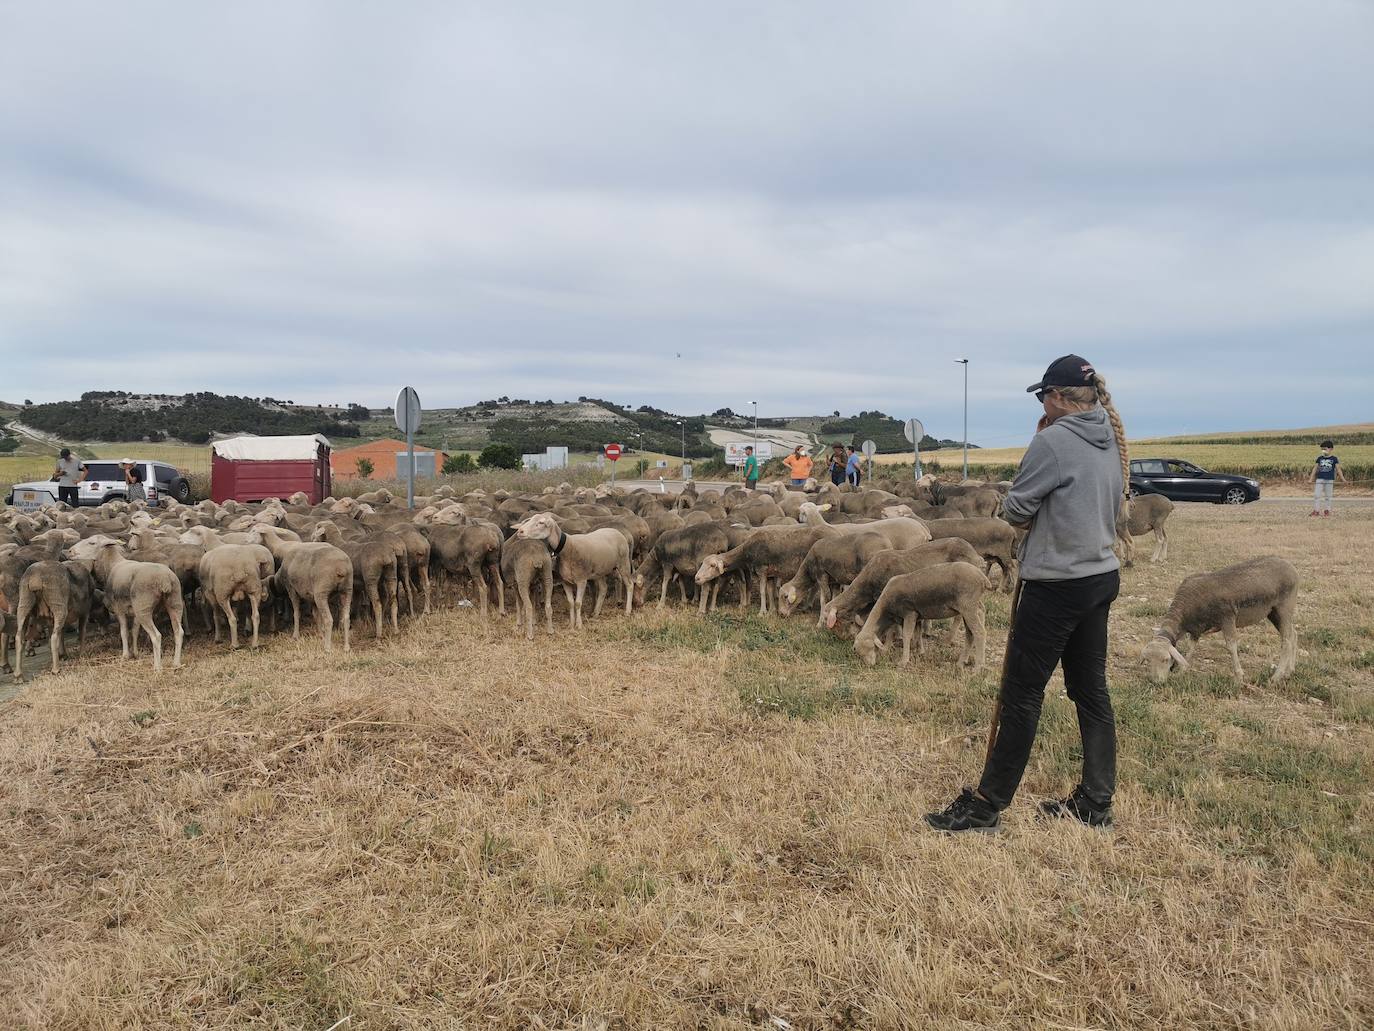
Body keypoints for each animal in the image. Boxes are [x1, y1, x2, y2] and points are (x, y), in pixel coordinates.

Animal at [69, 536, 185, 673]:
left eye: (92, 543)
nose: (70, 551)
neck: (112, 564)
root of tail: (165, 580)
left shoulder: (119, 609)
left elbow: (124, 632)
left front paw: (125, 655)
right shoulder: (134, 610)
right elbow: (134, 631)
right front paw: (135, 653)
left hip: (144, 608)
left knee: (156, 636)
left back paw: (157, 667)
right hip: (174, 602)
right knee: (179, 632)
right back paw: (176, 663)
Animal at [851, 560, 994, 673]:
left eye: (870, 647)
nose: (870, 665)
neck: (886, 609)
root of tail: (983, 579)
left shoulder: (909, 613)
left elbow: (907, 635)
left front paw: (903, 661)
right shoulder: (916, 616)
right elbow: (917, 632)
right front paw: (919, 651)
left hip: (968, 607)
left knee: (979, 632)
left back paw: (978, 667)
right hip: (971, 608)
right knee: (972, 631)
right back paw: (961, 662)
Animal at [1137, 558, 1297, 687]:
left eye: (1165, 660)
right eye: (1148, 661)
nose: (1156, 682)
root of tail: (1291, 567)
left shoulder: (1227, 618)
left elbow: (1231, 646)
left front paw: (1238, 678)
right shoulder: (1196, 629)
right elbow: (1191, 648)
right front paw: (1183, 670)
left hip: (1284, 607)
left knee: (1287, 640)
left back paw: (1275, 677)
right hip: (1273, 613)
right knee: (1292, 634)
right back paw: (1289, 672)